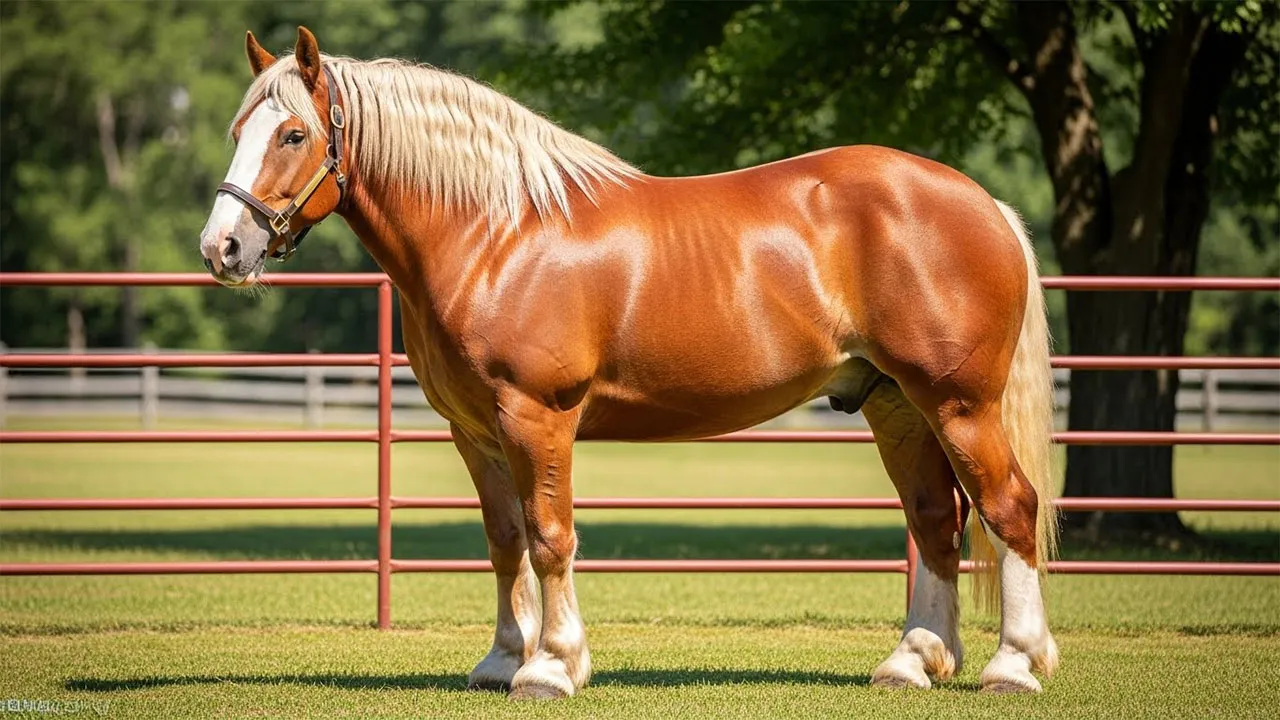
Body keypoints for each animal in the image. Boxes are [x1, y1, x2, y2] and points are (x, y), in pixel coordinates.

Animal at [200, 27, 1059, 698]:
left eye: (292, 135)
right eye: (238, 128)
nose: (222, 248)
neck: (495, 235)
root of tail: (982, 202)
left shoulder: (537, 417)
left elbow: (550, 536)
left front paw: (552, 668)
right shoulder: (475, 432)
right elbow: (504, 539)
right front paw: (500, 662)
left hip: (957, 405)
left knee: (1009, 509)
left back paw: (1013, 665)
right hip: (897, 407)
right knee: (936, 522)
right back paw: (912, 663)